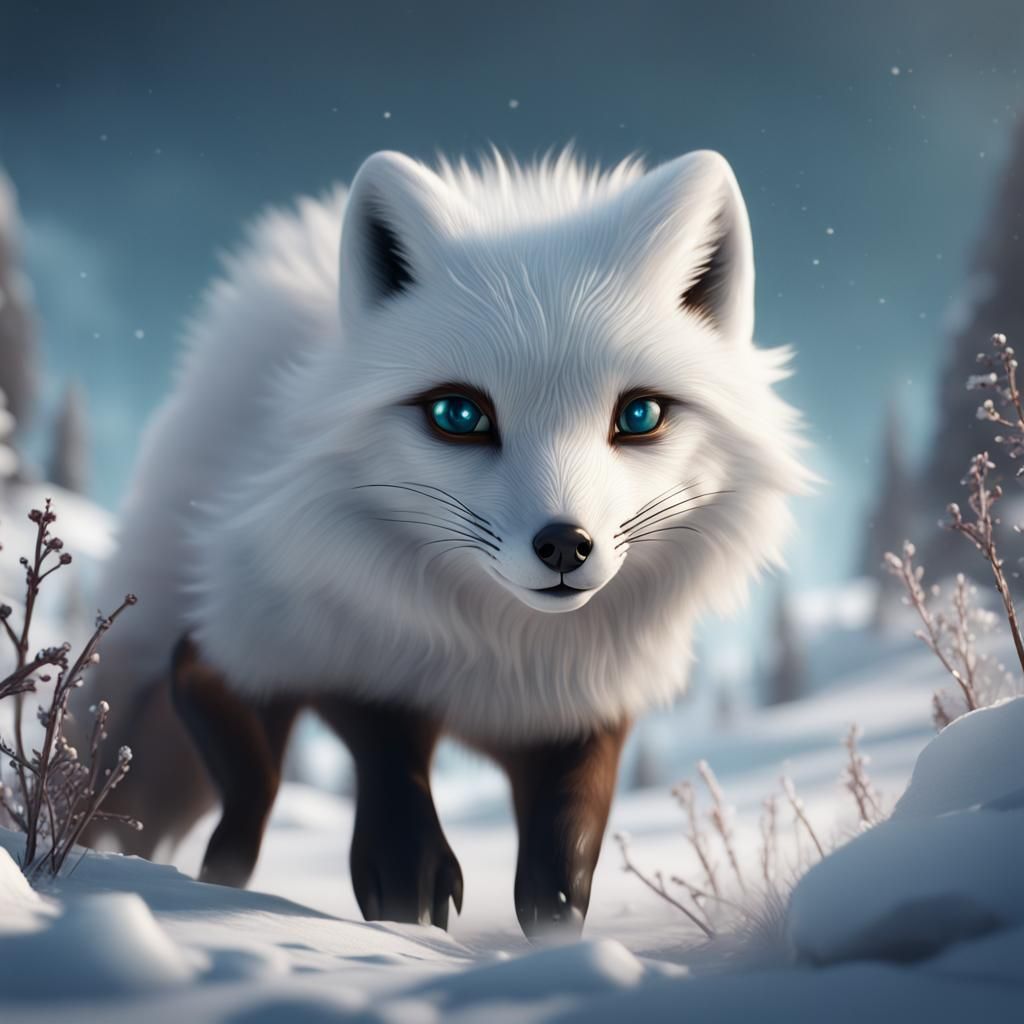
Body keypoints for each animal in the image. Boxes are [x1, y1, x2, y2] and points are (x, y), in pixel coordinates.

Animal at [84, 147, 807, 938]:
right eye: (458, 415)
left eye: (640, 415)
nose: (565, 546)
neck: (506, 657)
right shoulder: (353, 646)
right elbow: (386, 746)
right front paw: (407, 880)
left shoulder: (584, 700)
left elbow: (570, 823)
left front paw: (555, 920)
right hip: (251, 619)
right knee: (210, 690)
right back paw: (223, 848)